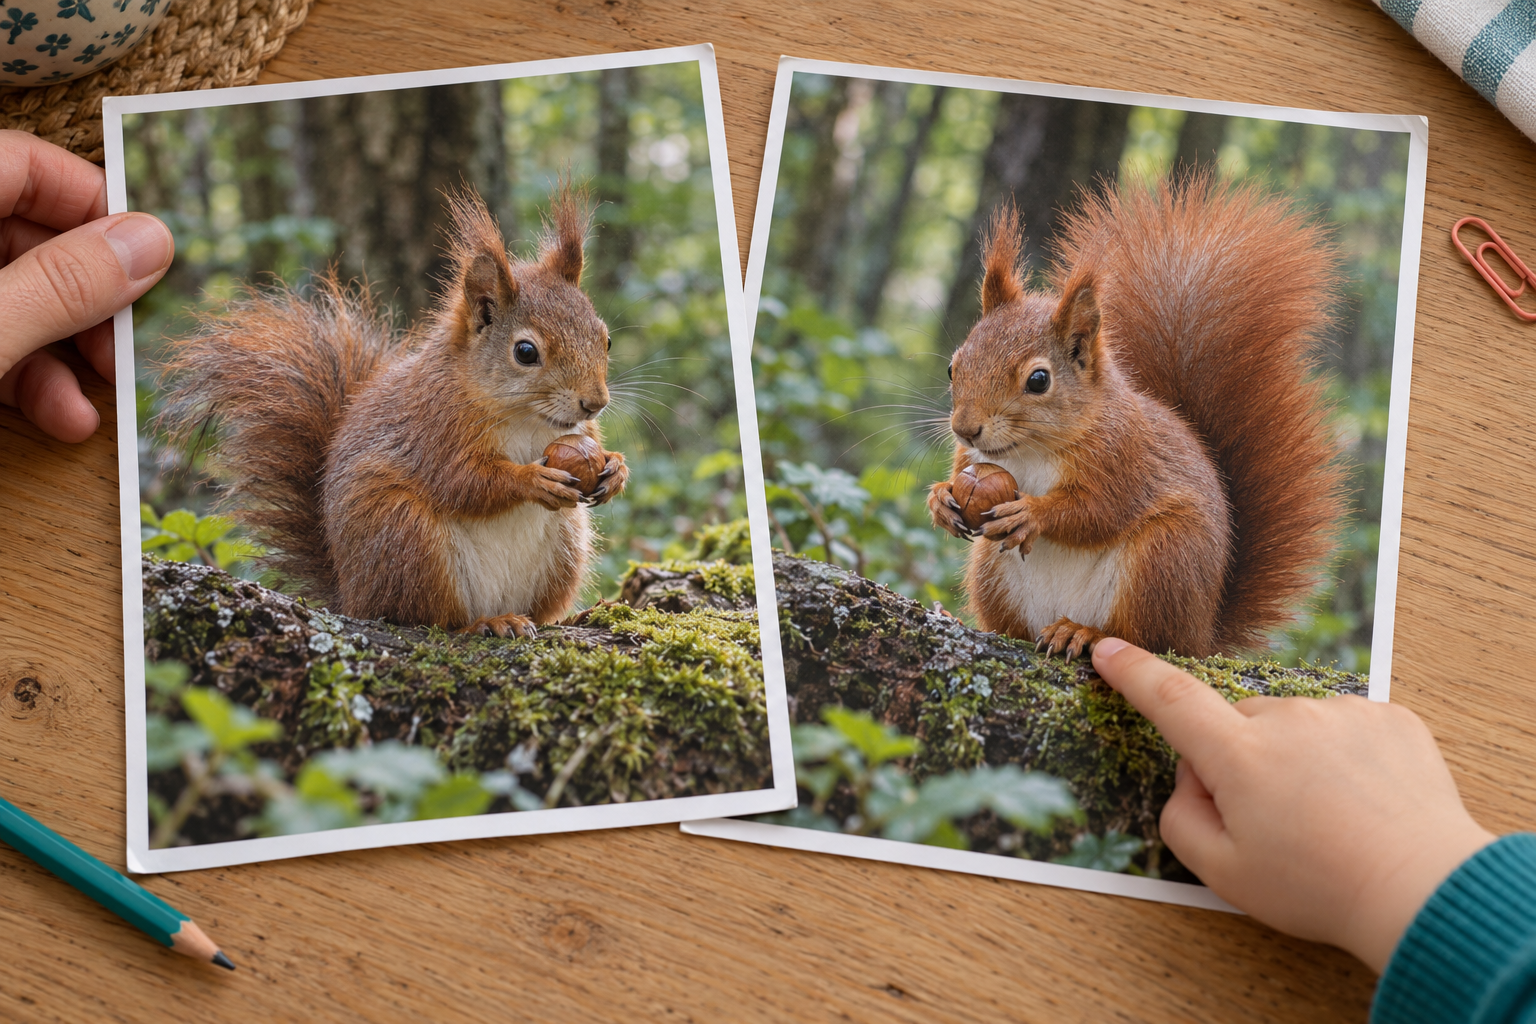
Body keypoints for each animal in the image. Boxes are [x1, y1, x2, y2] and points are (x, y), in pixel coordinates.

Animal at [159, 184, 627, 638]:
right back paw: (487, 623)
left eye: (605, 339)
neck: (527, 418)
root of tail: (351, 596)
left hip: (565, 544)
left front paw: (616, 469)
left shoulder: (580, 431)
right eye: (525, 352)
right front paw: (531, 479)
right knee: (428, 617)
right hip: (406, 535)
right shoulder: (434, 425)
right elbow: (463, 481)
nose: (595, 402)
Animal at [928, 174, 1345, 660]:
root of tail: (1202, 635)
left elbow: (1099, 510)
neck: (1029, 451)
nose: (965, 428)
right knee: (1014, 626)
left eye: (1038, 380)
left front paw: (1032, 512)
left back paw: (1083, 633)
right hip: (992, 573)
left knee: (1143, 637)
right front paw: (940, 498)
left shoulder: (1123, 456)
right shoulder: (970, 460)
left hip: (1163, 559)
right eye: (954, 366)